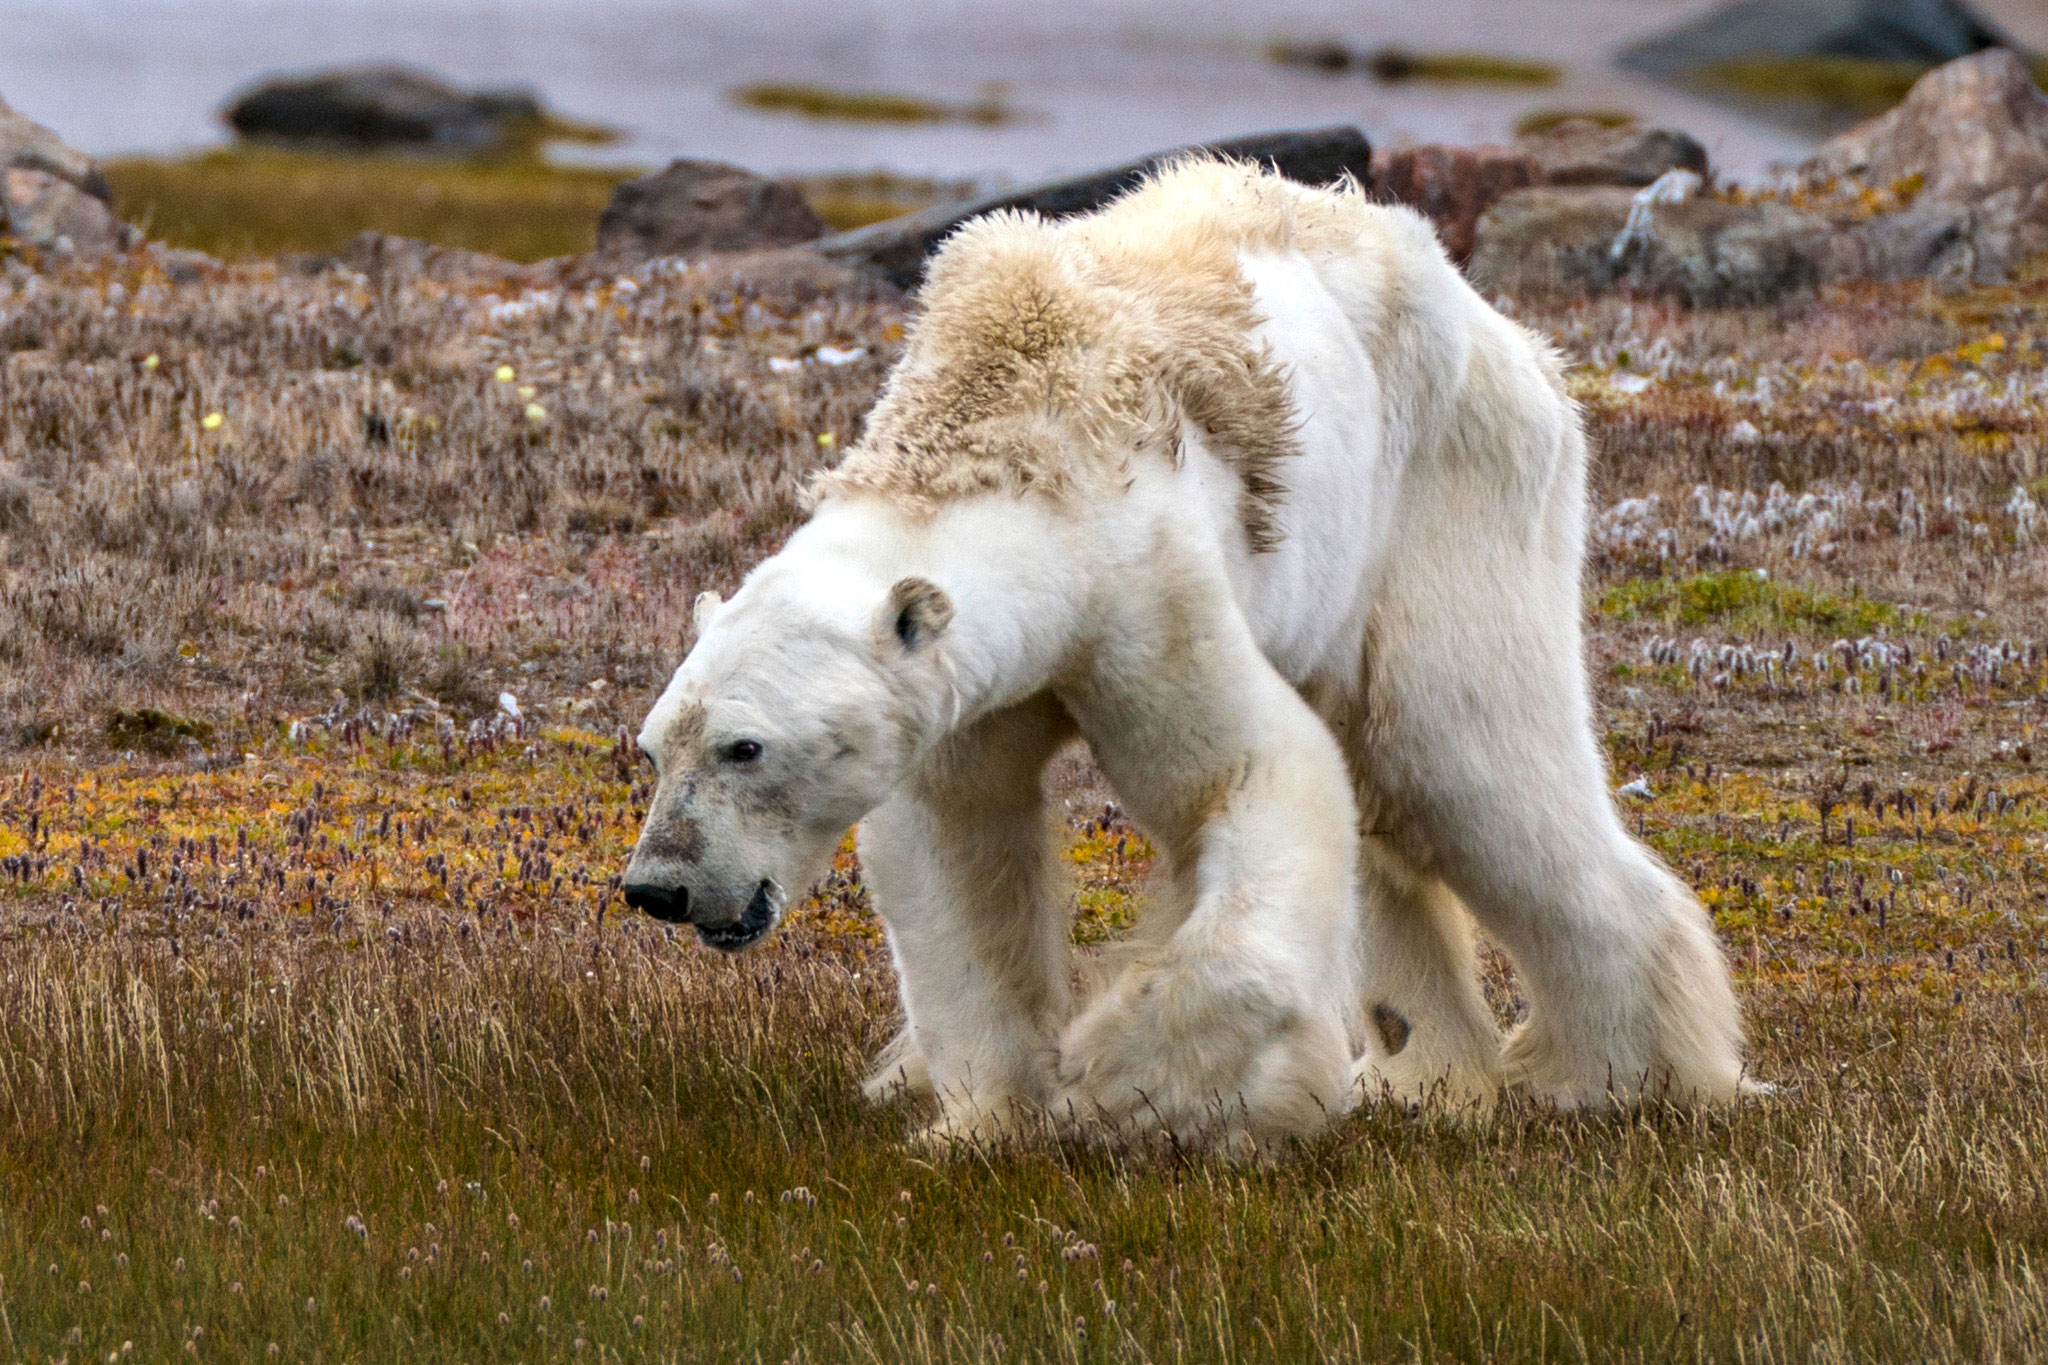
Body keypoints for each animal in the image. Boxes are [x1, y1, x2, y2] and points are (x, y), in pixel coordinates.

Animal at [622, 157, 1744, 1146]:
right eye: (654, 745)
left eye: (745, 747)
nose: (657, 887)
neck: (1006, 431)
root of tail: (1514, 338)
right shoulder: (966, 688)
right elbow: (957, 845)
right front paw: (984, 1120)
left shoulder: (1142, 586)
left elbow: (1248, 775)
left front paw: (1130, 1082)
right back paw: (1426, 1073)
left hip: (1447, 493)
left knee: (1463, 760)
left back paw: (1618, 1076)